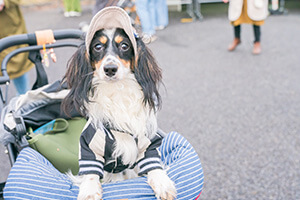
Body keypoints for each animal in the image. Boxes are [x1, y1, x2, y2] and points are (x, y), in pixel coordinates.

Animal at [62, 6, 176, 200]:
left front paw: (163, 184)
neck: (117, 92)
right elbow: (90, 173)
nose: (110, 69)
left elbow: (154, 165)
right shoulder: (90, 146)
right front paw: (89, 191)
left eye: (124, 46)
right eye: (97, 46)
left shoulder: (148, 142)